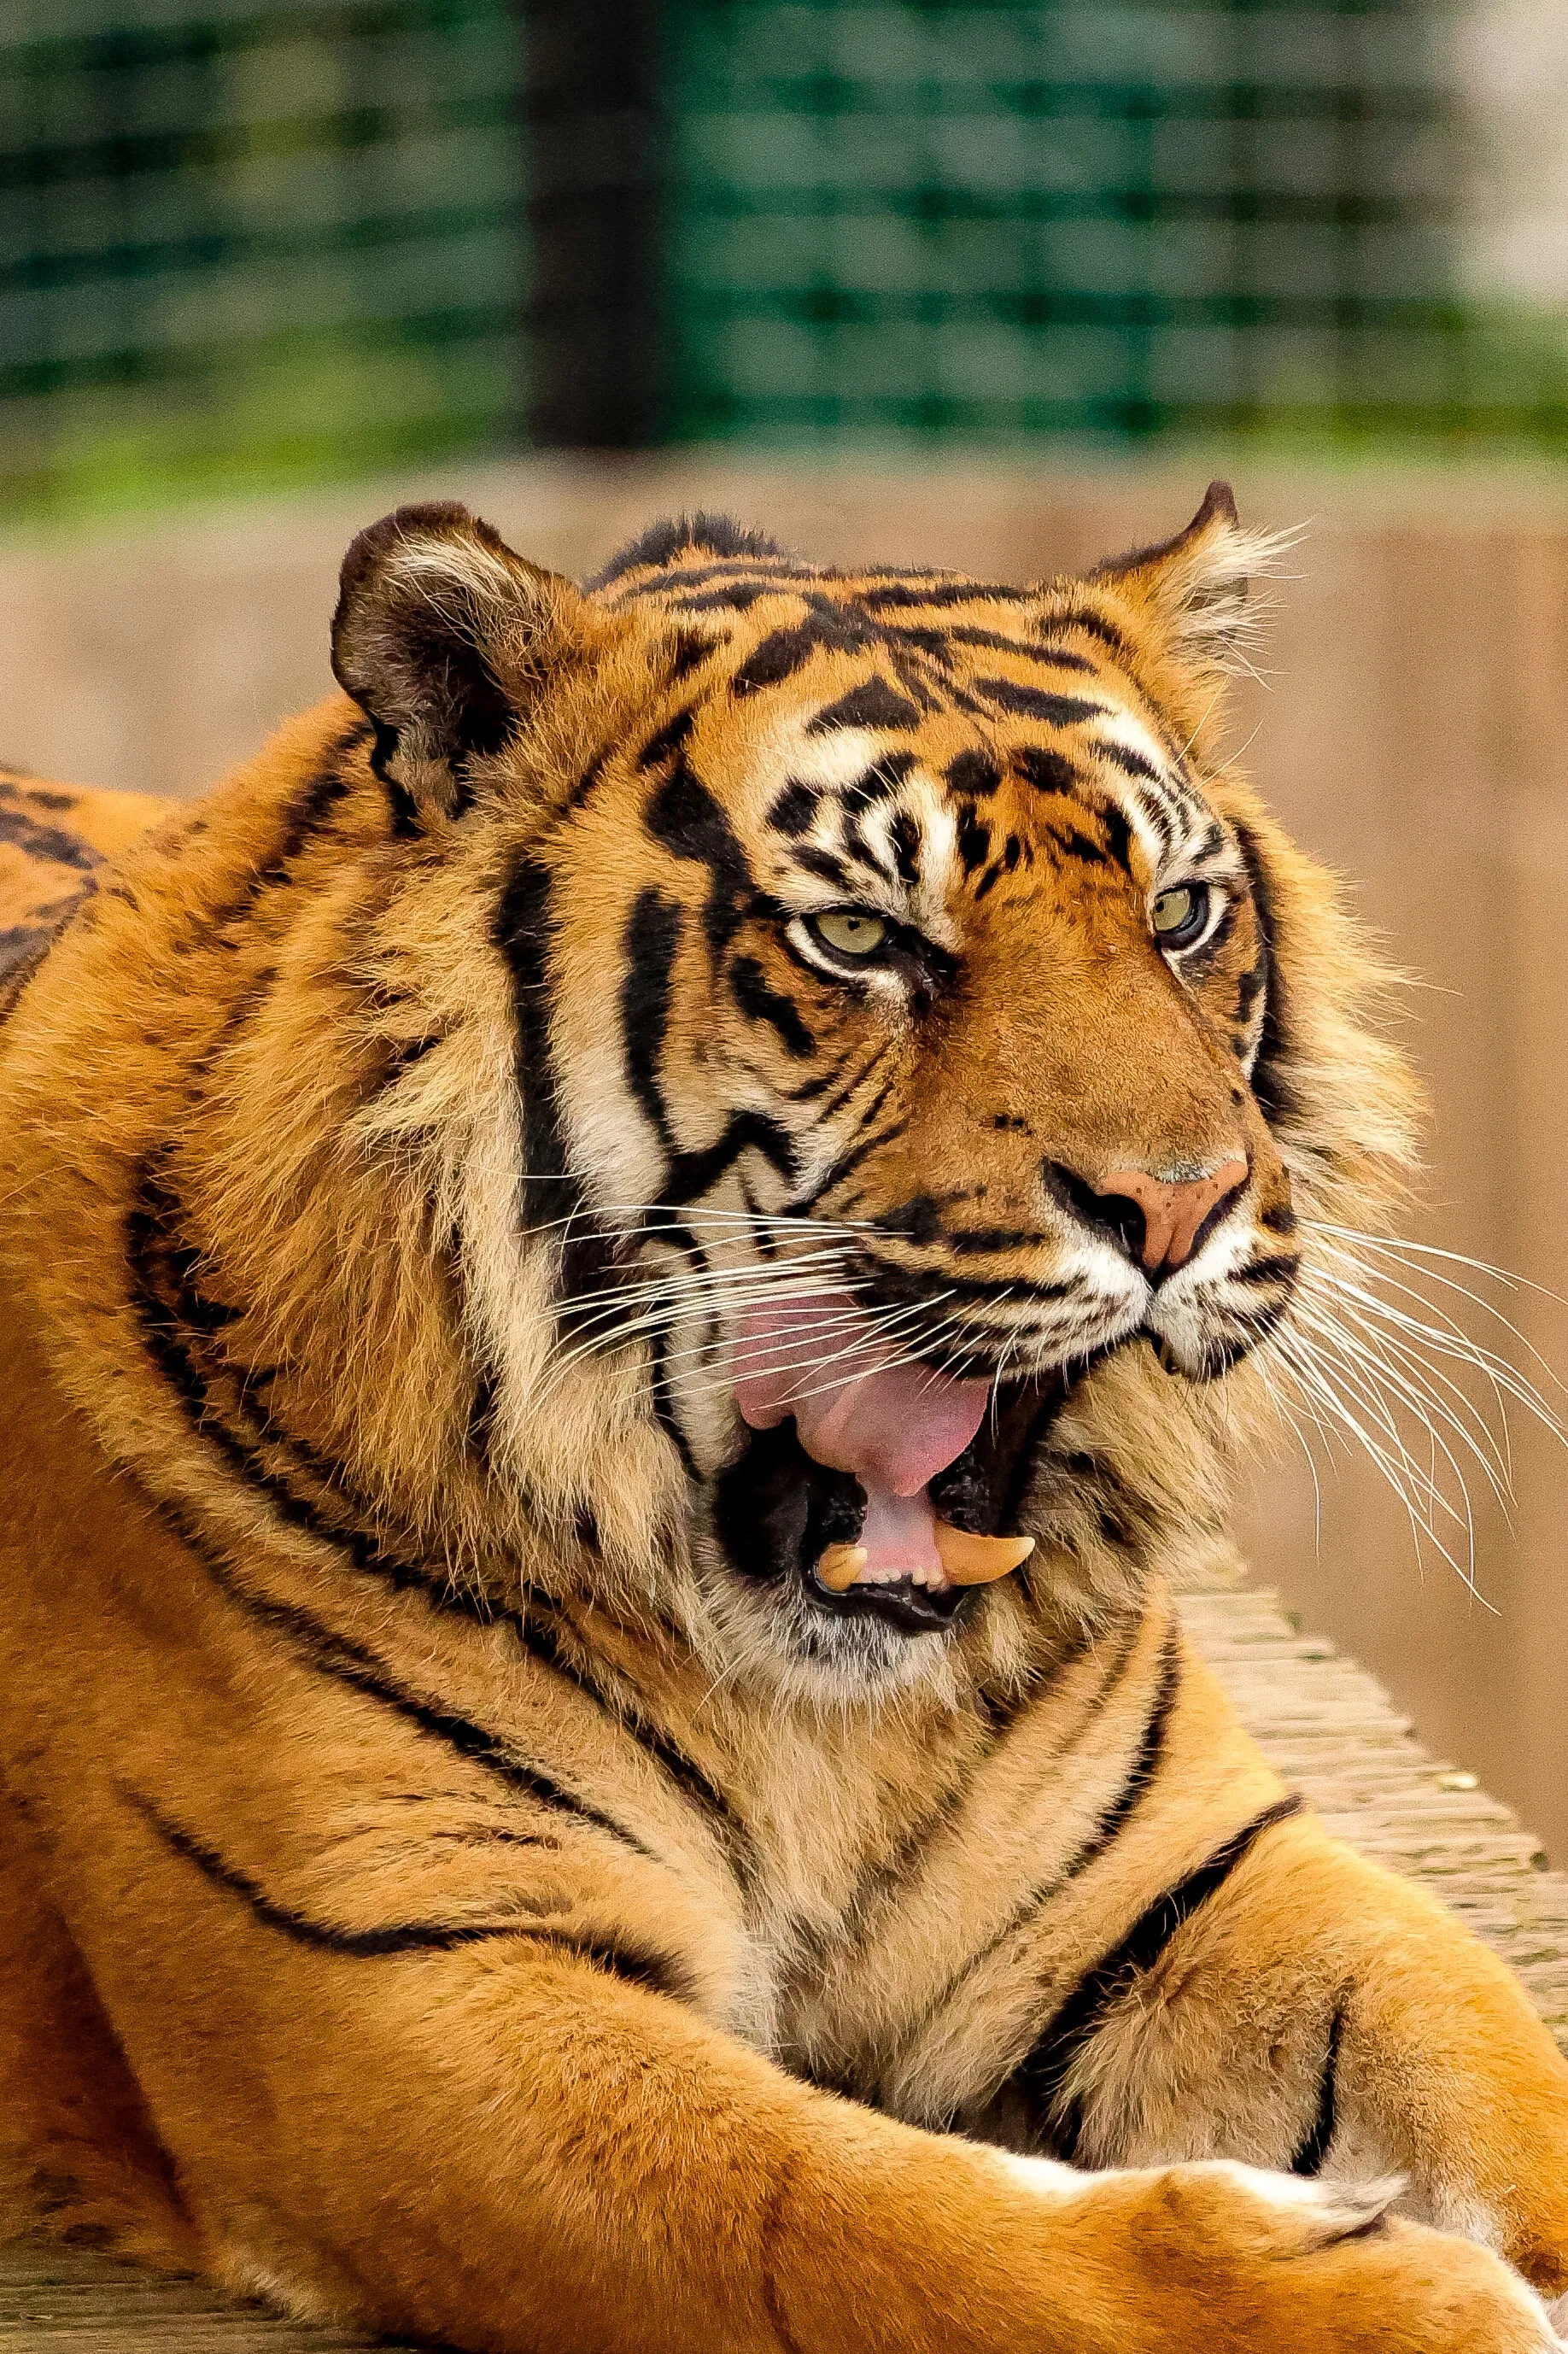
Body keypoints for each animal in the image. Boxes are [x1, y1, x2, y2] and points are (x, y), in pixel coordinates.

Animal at [0, 485, 1565, 2354]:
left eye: (1182, 912)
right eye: (861, 938)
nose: (1180, 1205)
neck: (821, 1714)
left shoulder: (1193, 1873)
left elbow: (1490, 2070)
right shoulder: (398, 1983)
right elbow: (872, 2226)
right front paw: (1413, 2299)